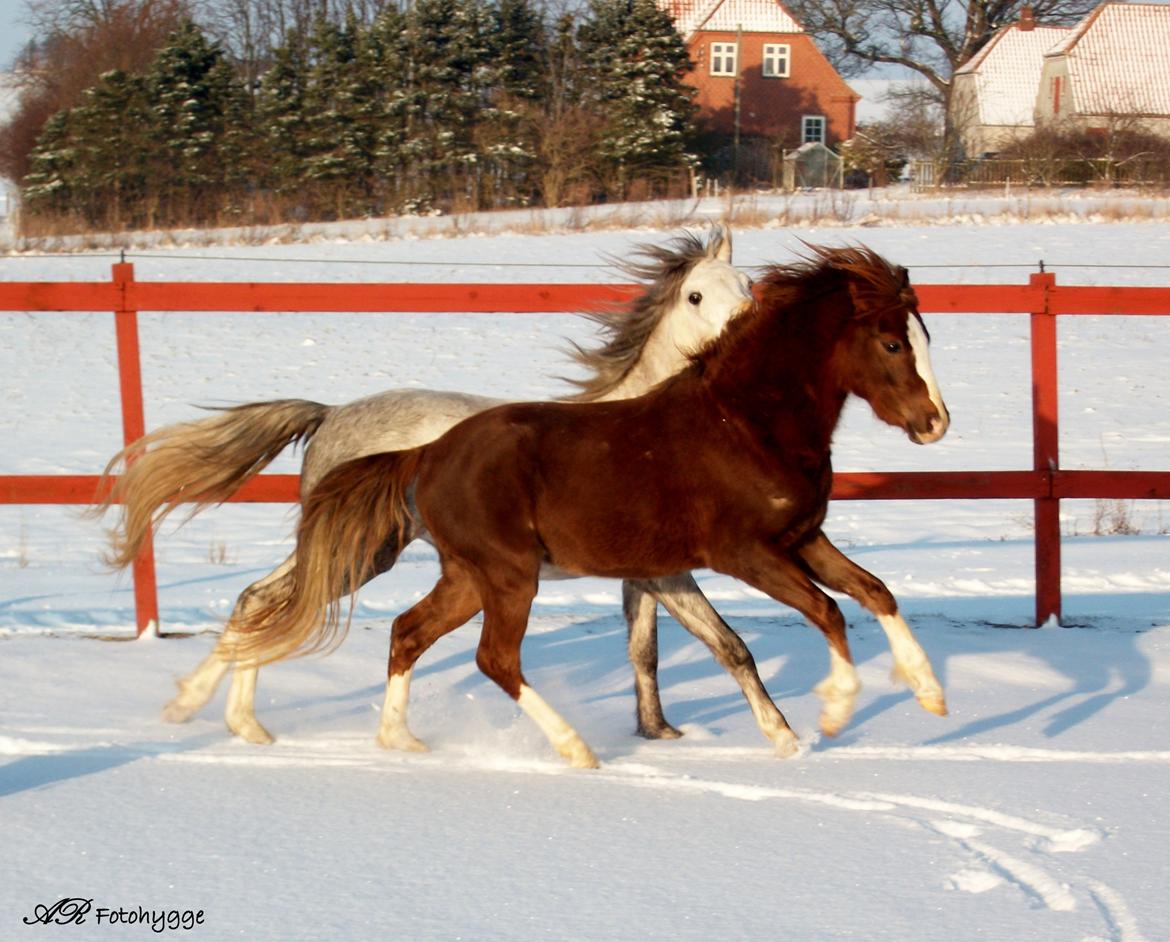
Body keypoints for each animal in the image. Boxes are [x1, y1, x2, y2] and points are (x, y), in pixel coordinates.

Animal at [93, 227, 772, 743]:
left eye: (749, 285)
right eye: (695, 295)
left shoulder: (645, 571)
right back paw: (206, 710)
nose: (745, 335)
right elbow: (724, 642)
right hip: (363, 552)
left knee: (259, 599)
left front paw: (661, 733)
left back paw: (235, 721)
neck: (636, 429)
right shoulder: (661, 570)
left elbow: (647, 649)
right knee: (269, 601)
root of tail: (328, 415)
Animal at [224, 244, 951, 768]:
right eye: (892, 343)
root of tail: (424, 453)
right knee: (492, 657)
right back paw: (575, 749)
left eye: (925, 337)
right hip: (498, 574)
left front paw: (925, 694)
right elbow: (821, 613)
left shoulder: (798, 539)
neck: (745, 423)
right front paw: (833, 711)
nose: (935, 423)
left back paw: (395, 740)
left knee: (405, 631)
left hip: (466, 576)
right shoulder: (742, 553)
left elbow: (871, 593)